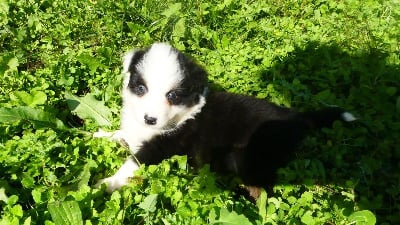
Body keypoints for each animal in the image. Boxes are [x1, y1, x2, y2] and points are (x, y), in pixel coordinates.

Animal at [94, 42, 356, 193]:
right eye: (141, 88)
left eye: (173, 95)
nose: (150, 119)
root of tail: (294, 115)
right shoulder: (136, 133)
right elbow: (121, 134)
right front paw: (98, 134)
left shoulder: (162, 147)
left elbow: (130, 165)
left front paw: (106, 184)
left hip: (247, 158)